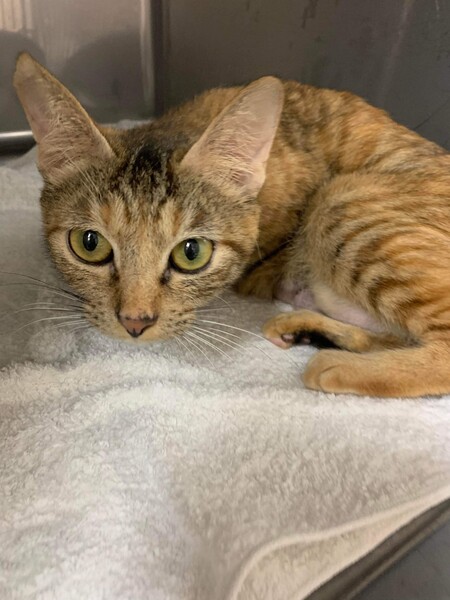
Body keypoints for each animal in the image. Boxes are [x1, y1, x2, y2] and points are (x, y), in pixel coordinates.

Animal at [13, 52, 450, 398]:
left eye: (191, 253)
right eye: (90, 244)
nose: (135, 322)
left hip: (341, 202)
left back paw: (334, 364)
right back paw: (307, 329)